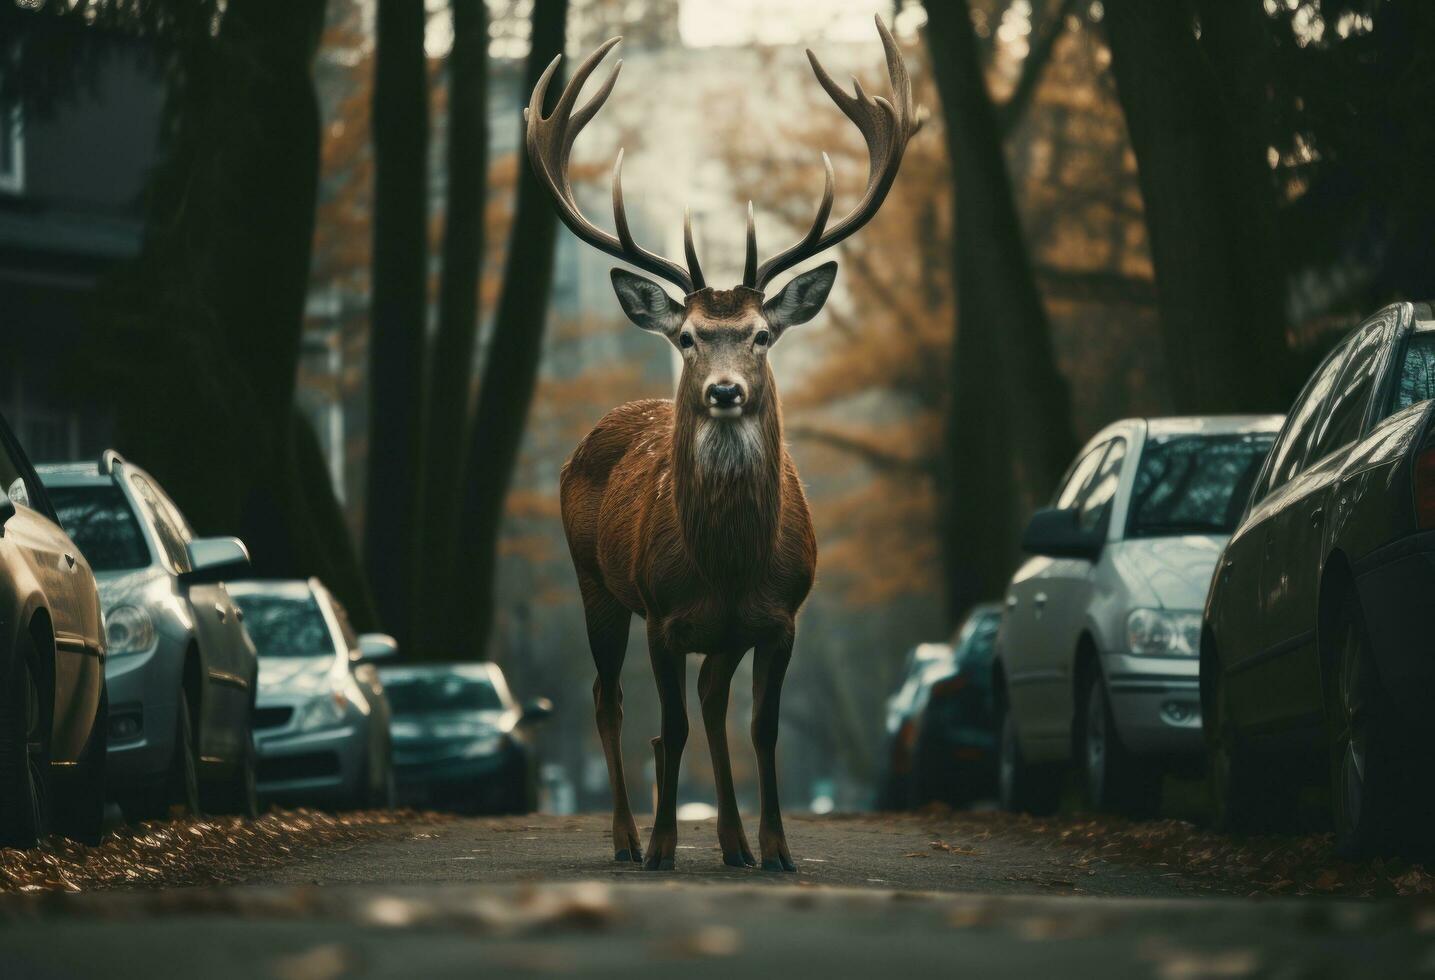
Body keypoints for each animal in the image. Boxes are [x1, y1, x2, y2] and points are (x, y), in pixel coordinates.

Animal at [528, 17, 918, 872]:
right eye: (686, 337)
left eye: (762, 334)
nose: (725, 391)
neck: (731, 562)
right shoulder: (662, 615)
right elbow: (668, 727)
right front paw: (665, 846)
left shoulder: (780, 618)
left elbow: (759, 729)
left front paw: (776, 848)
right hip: (593, 581)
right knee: (608, 698)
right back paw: (626, 839)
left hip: (717, 633)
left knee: (710, 704)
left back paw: (734, 845)